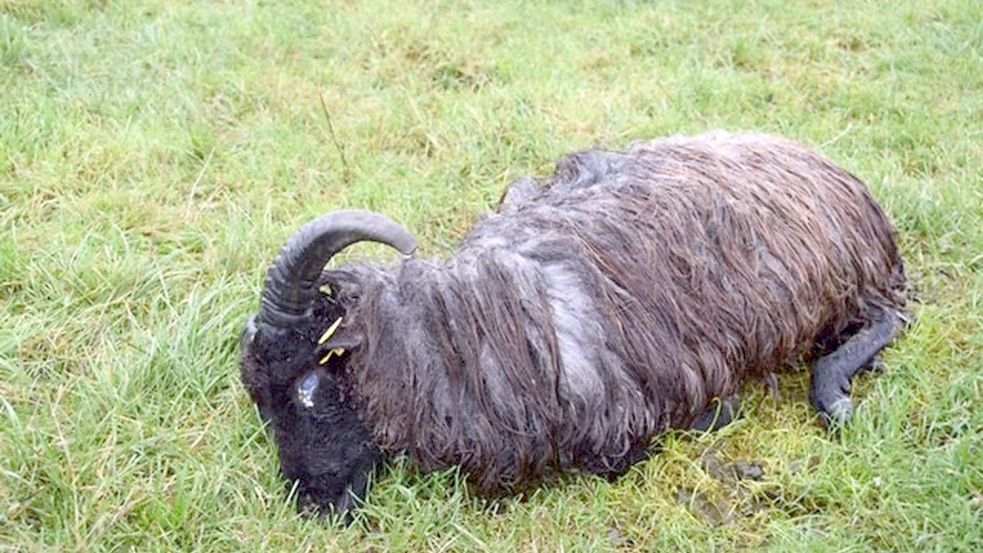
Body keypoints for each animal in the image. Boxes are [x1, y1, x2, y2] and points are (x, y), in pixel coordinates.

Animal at [236, 132, 908, 516]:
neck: (452, 336)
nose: (311, 506)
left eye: (310, 384)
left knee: (889, 317)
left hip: (848, 282)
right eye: (259, 402)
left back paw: (835, 389)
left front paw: (726, 410)